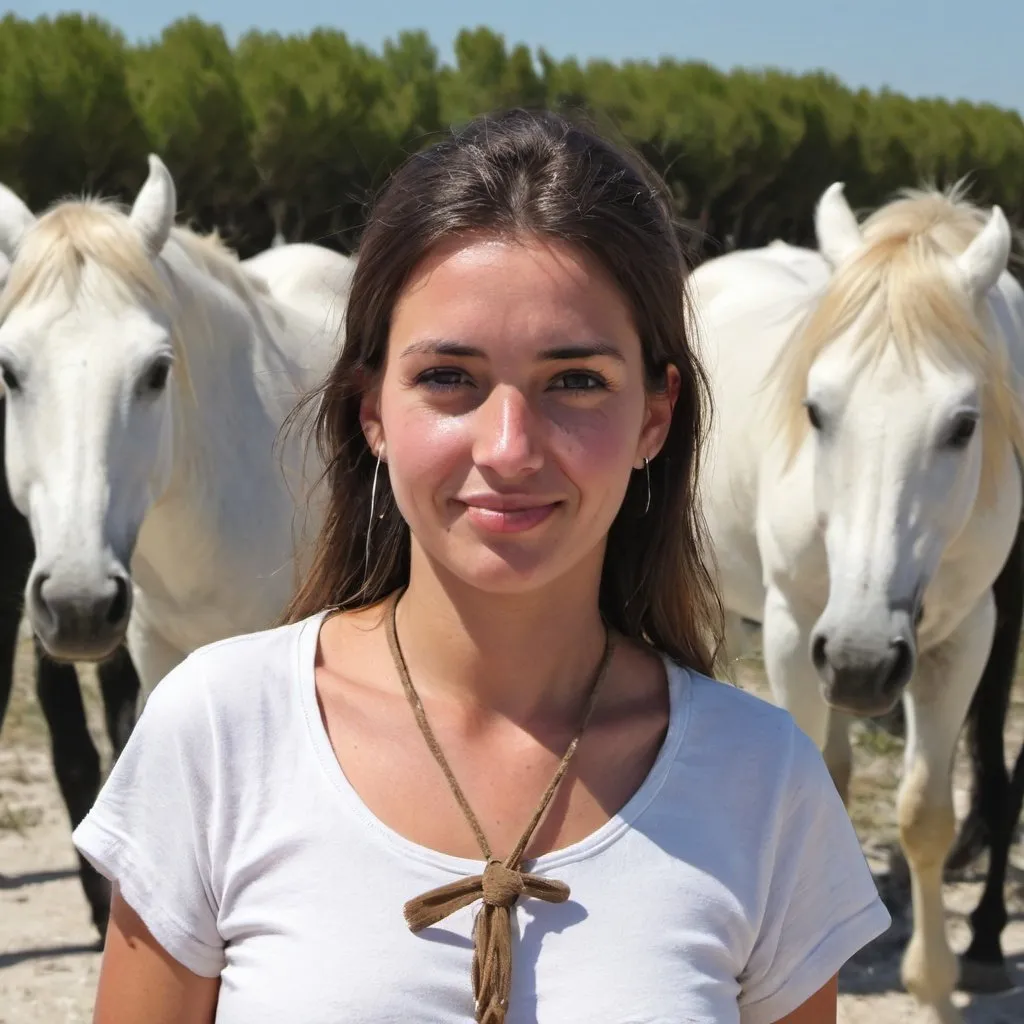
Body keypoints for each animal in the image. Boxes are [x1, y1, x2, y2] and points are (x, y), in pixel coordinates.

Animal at [692, 180, 1024, 1019]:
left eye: (964, 425)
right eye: (815, 410)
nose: (862, 659)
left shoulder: (964, 637)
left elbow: (926, 814)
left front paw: (934, 983)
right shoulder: (792, 628)